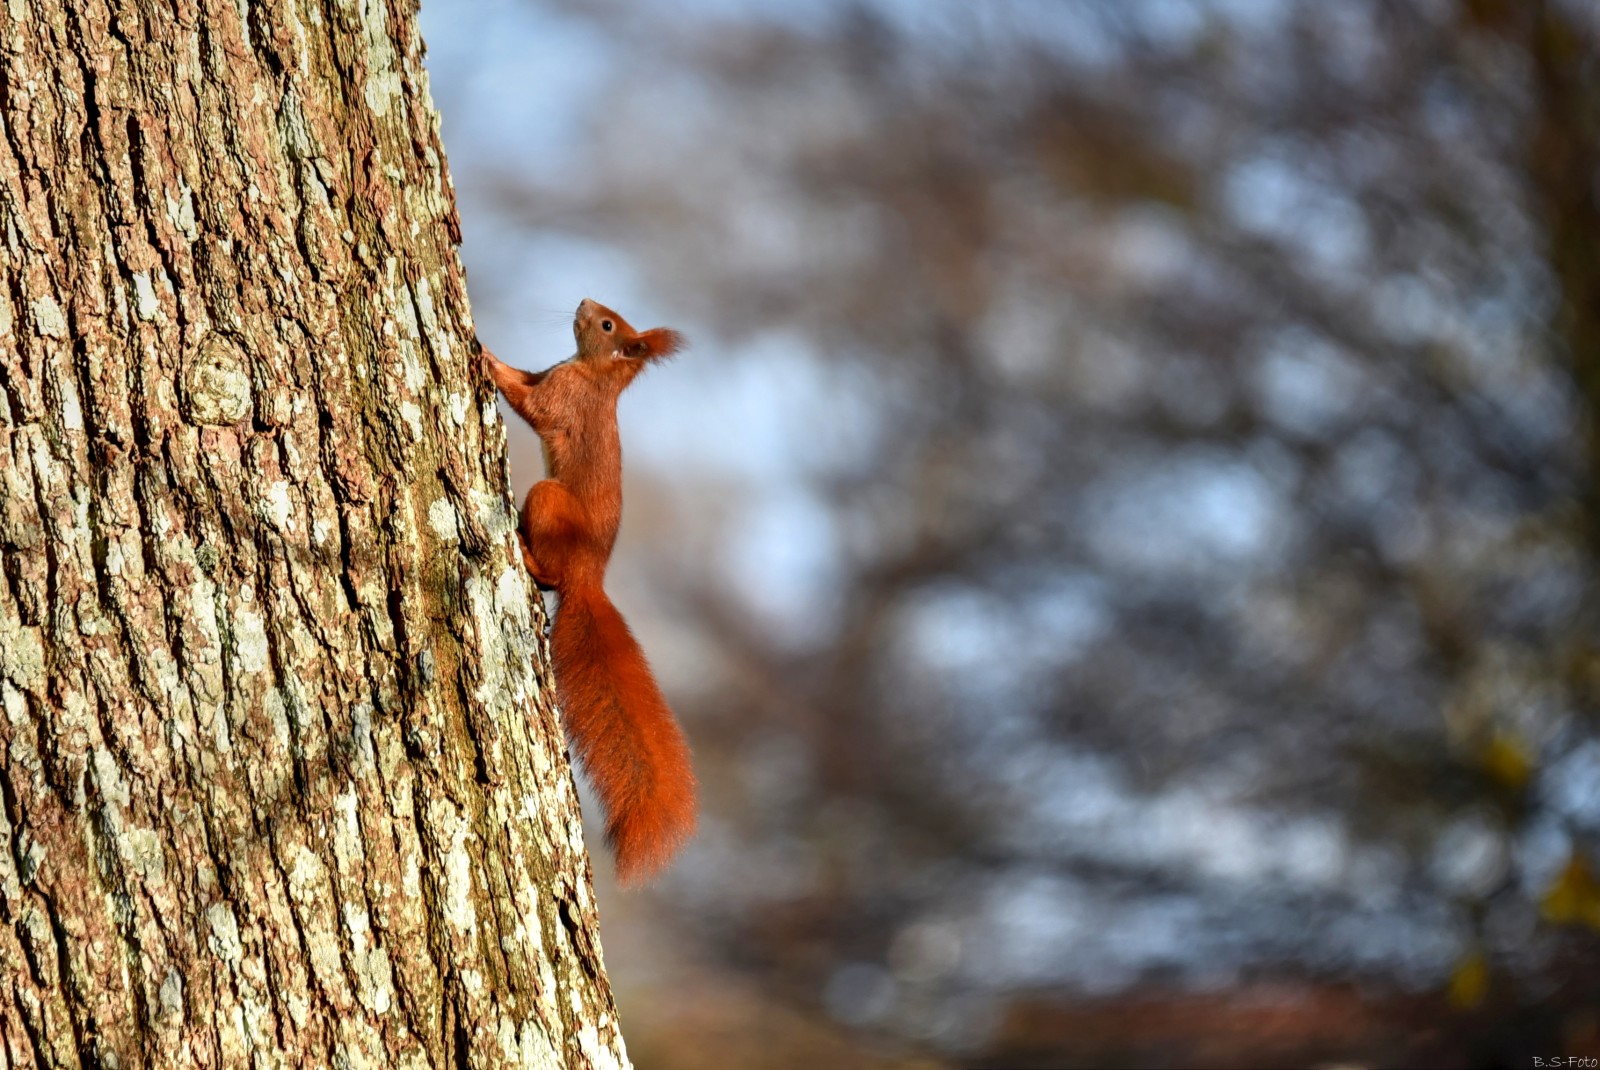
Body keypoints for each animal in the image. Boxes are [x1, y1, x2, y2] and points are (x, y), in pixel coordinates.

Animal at [481, 298, 696, 884]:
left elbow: (530, 403)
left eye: (606, 326)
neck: (595, 375)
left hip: (548, 501)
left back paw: (525, 550)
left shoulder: (563, 397)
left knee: (549, 573)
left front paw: (483, 356)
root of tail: (587, 582)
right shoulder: (552, 374)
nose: (583, 302)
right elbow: (528, 378)